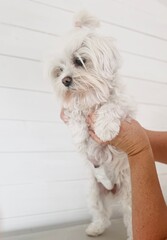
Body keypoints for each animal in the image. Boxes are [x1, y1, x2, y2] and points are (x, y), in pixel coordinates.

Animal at [46, 11, 134, 240]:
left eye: (79, 61)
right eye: (59, 71)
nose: (65, 81)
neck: (91, 98)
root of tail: (113, 188)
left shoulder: (124, 106)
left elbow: (112, 105)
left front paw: (105, 128)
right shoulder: (72, 109)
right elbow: (74, 113)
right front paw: (78, 133)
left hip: (130, 192)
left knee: (133, 217)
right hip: (94, 191)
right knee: (101, 213)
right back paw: (96, 228)